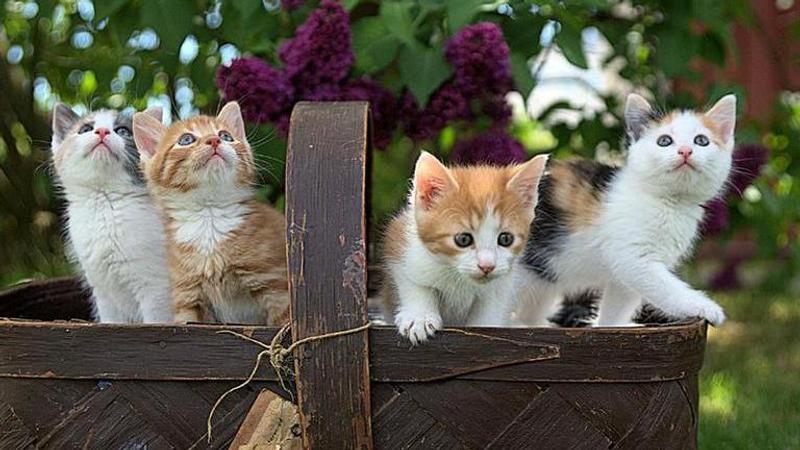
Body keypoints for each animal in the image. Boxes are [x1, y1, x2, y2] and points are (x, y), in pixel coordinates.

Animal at [52, 105, 175, 324]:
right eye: (85, 129)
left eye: (122, 131)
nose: (102, 131)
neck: (105, 203)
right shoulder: (103, 292)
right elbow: (111, 322)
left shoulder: (156, 288)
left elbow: (156, 321)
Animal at [133, 103, 290, 326]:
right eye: (186, 139)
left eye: (225, 136)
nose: (214, 140)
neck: (209, 216)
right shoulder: (188, 297)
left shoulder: (276, 286)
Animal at [382, 152, 552, 344]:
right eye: (463, 239)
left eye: (506, 239)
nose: (487, 266)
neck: (459, 278)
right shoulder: (400, 243)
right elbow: (415, 283)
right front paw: (419, 317)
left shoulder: (503, 283)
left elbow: (490, 308)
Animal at [516, 95, 736, 326]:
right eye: (664, 141)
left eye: (701, 140)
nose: (685, 151)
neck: (668, 202)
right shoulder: (633, 258)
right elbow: (667, 288)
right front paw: (705, 307)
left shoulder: (624, 275)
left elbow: (618, 306)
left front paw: (608, 327)